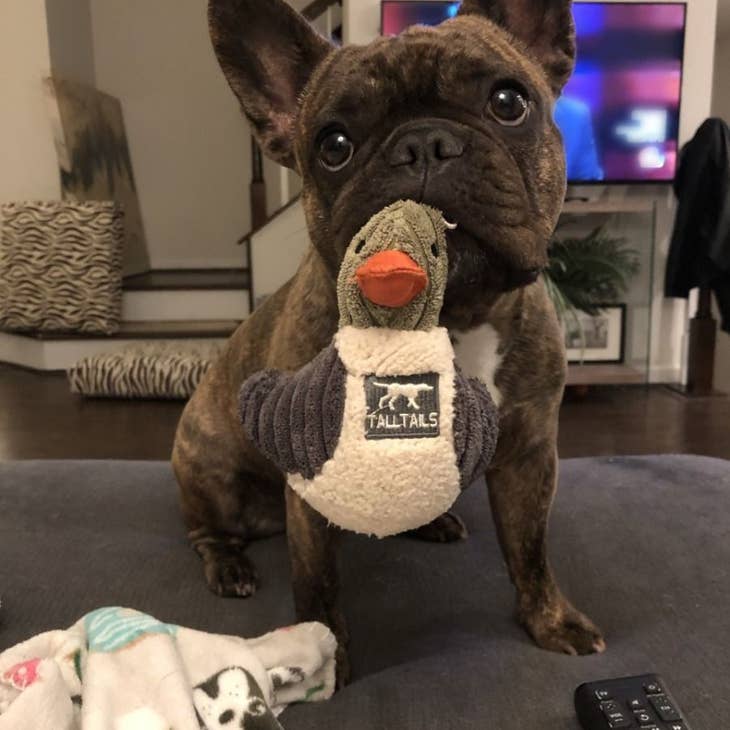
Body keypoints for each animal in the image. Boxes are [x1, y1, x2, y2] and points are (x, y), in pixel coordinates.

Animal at [172, 0, 605, 684]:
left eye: (509, 101)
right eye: (334, 145)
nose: (423, 144)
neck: (450, 317)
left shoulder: (530, 454)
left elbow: (531, 550)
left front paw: (552, 620)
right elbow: (317, 582)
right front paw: (325, 656)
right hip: (210, 476)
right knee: (209, 533)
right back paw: (230, 565)